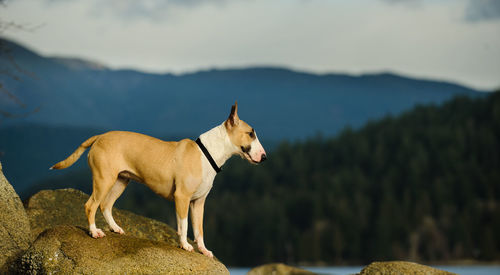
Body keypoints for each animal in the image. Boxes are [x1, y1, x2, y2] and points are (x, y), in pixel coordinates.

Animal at [50, 102, 268, 258]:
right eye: (251, 134)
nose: (265, 157)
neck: (208, 153)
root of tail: (100, 136)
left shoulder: (199, 203)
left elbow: (199, 230)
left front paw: (204, 250)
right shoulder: (182, 198)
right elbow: (184, 225)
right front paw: (185, 245)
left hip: (120, 181)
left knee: (105, 205)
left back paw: (115, 228)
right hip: (104, 180)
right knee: (91, 205)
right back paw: (94, 232)